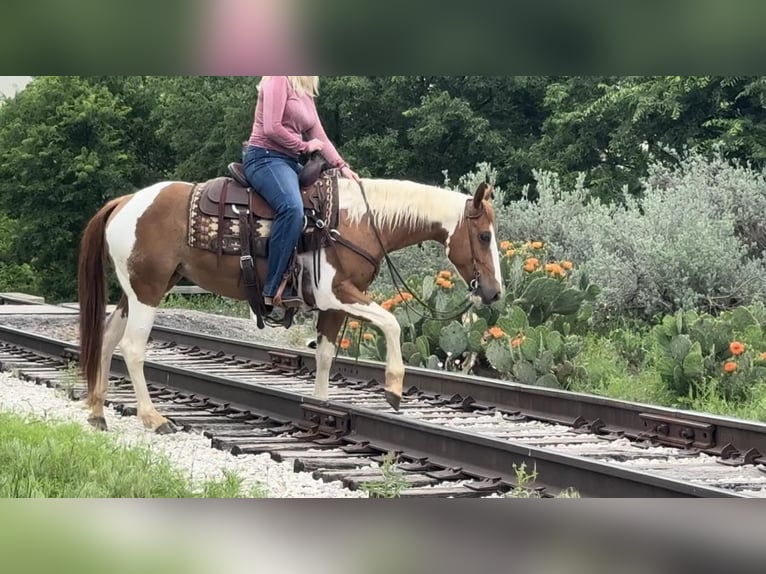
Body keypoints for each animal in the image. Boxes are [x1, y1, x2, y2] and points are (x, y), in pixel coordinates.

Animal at [78, 173, 504, 434]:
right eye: (484, 236)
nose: (495, 292)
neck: (358, 223)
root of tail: (125, 201)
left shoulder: (332, 307)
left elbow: (326, 356)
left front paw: (320, 407)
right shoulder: (337, 293)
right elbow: (391, 322)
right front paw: (394, 390)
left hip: (136, 291)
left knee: (108, 337)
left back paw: (98, 410)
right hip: (147, 290)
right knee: (133, 347)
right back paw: (153, 418)